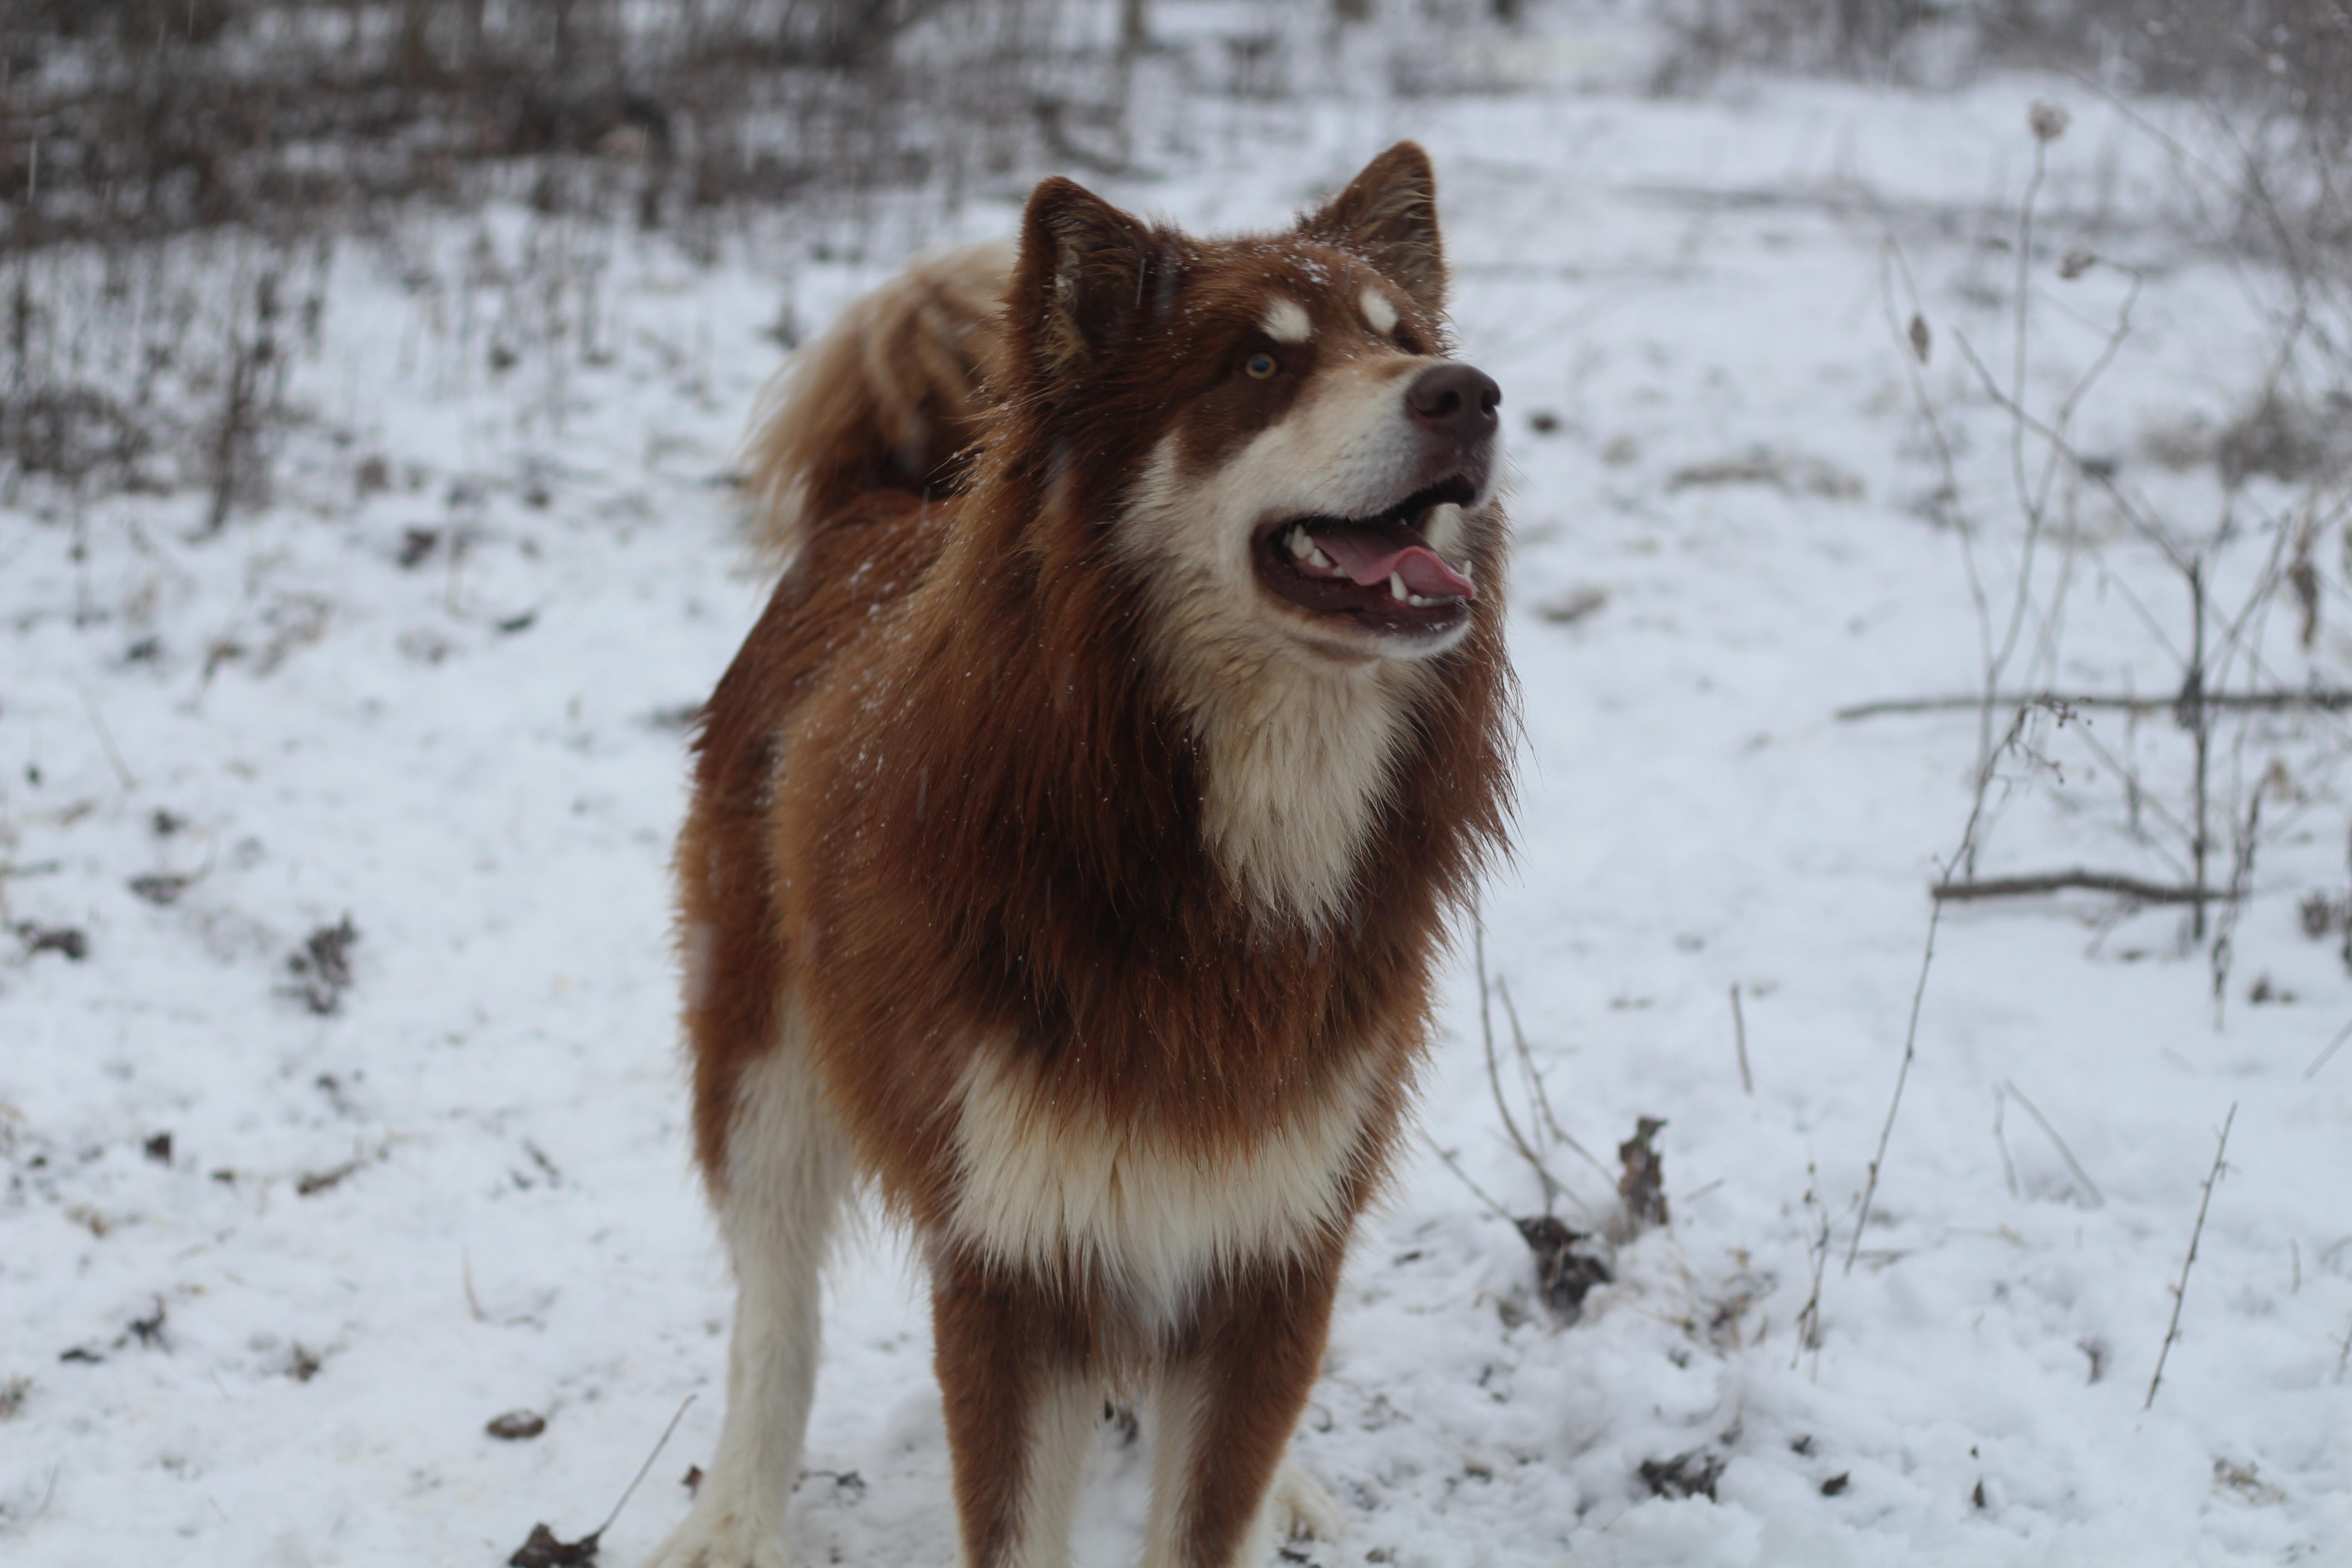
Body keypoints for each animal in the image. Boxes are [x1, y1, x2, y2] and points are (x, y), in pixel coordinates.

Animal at [650, 141, 1514, 1568]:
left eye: (1404, 342)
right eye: (1259, 365)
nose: (1472, 394)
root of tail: (882, 503)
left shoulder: (1272, 1245)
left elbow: (1210, 1500)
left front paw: (1261, 1488)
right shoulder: (1011, 1261)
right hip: (765, 1058)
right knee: (775, 1309)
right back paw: (734, 1516)